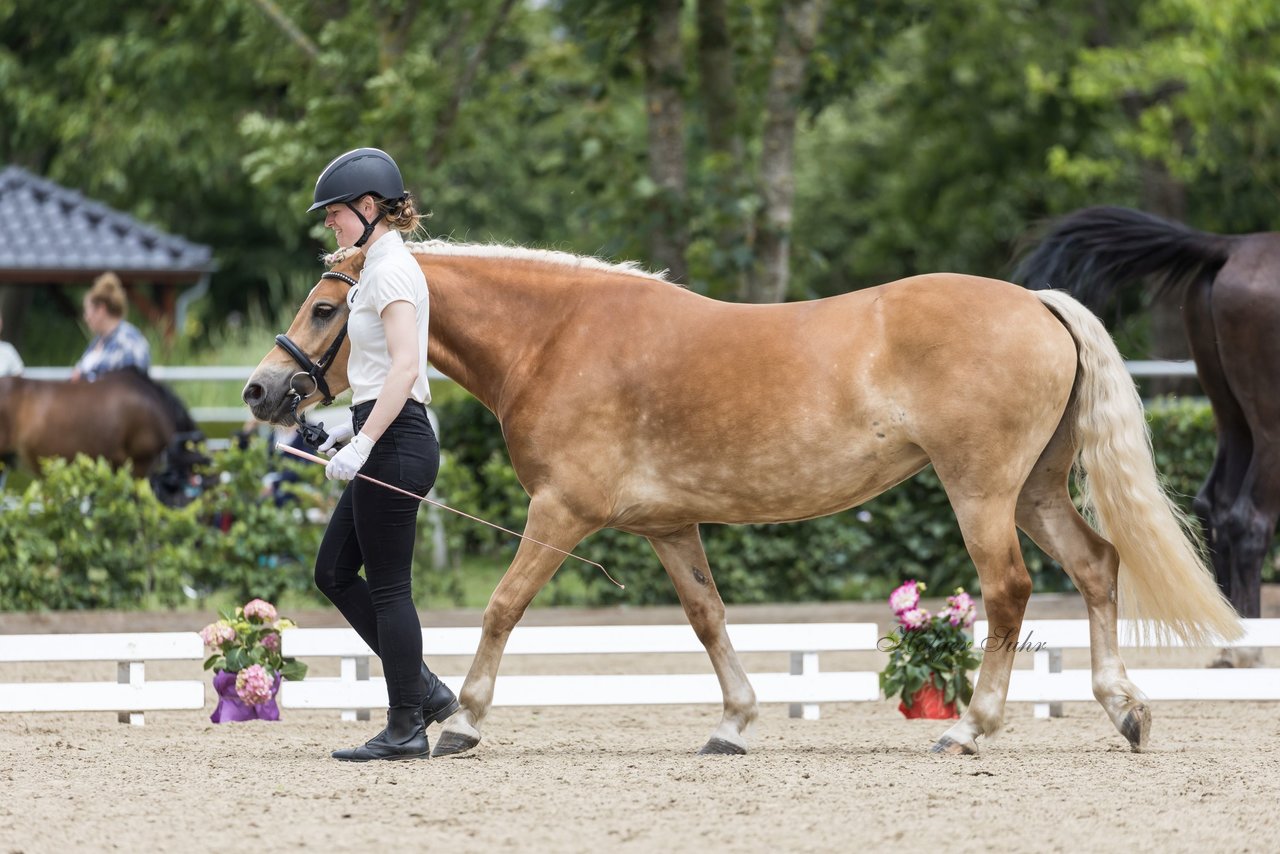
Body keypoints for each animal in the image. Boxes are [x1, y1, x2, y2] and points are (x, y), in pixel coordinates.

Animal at [241, 240, 1239, 752]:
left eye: (327, 308)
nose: (259, 391)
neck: (558, 337)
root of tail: (1036, 303)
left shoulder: (563, 513)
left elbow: (502, 608)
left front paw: (465, 721)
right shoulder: (669, 525)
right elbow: (707, 617)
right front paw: (734, 720)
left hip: (983, 493)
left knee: (1009, 593)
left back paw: (972, 729)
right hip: (1033, 491)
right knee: (1098, 567)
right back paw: (1126, 710)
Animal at [1018, 207, 1280, 665]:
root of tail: (1233, 246)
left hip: (1233, 416)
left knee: (1216, 506)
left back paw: (1231, 636)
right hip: (1268, 421)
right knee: (1249, 519)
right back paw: (1249, 647)